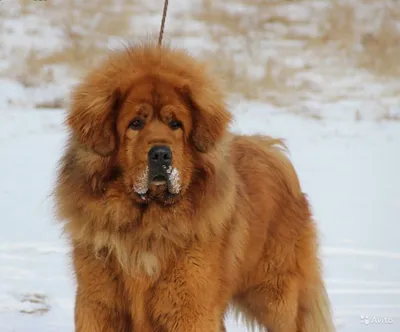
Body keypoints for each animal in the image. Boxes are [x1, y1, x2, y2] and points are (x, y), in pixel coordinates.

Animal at [54, 42, 334, 330]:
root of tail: (273, 153)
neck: (146, 223)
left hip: (278, 299)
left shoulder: (189, 308)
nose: (161, 154)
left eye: (175, 124)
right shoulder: (98, 305)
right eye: (135, 123)